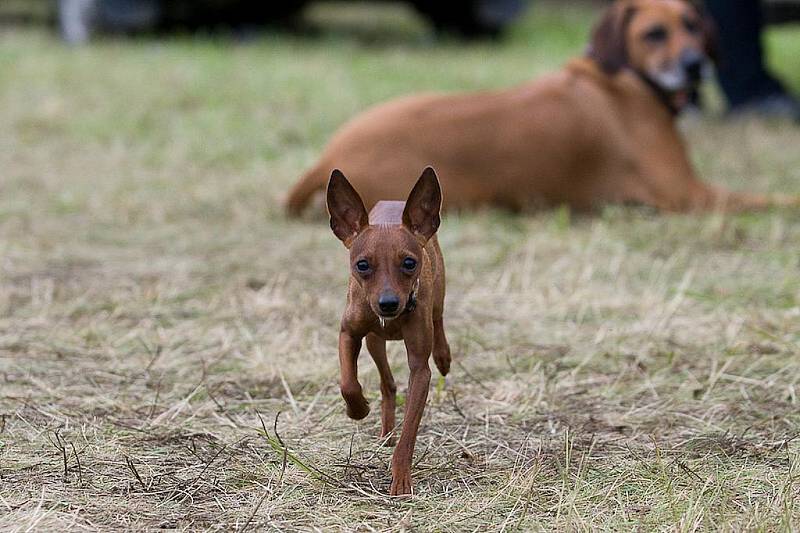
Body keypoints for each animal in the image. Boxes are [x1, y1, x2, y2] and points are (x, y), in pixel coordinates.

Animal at [288, 1, 800, 216]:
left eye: (693, 24)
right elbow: (771, 199)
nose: (696, 66)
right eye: (654, 33)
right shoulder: (690, 194)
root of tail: (325, 159)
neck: (622, 76)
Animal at [324, 165, 450, 494]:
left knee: (439, 320)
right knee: (388, 383)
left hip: (438, 296)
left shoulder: (420, 370)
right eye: (362, 265)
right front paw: (357, 410)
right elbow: (347, 383)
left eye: (409, 263)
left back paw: (444, 356)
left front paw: (401, 478)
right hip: (373, 342)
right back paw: (384, 430)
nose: (389, 303)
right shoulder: (348, 334)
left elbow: (409, 433)